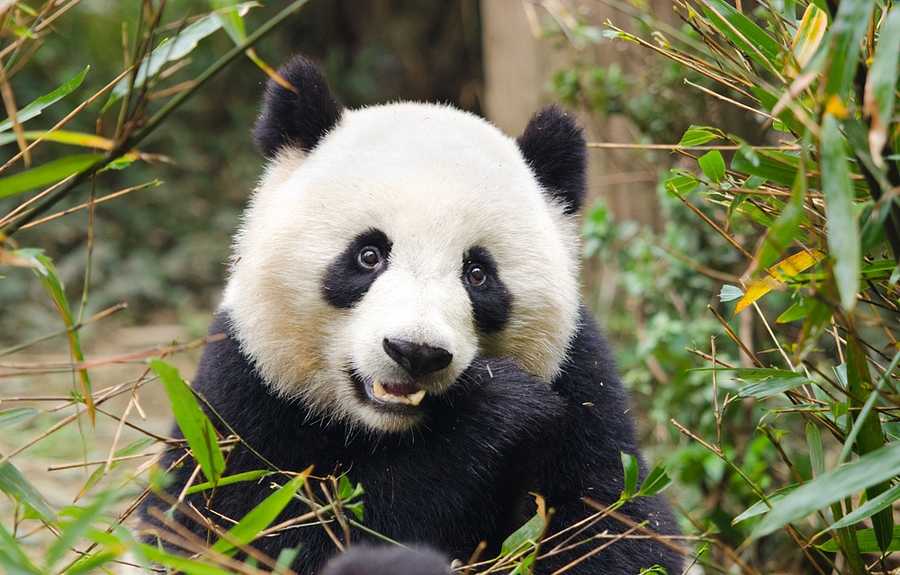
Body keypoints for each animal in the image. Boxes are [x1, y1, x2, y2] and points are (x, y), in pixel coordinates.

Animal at [140, 54, 683, 575]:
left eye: (478, 273)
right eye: (369, 255)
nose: (415, 352)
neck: (389, 429)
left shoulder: (583, 388)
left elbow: (616, 526)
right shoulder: (242, 396)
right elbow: (233, 528)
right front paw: (494, 407)